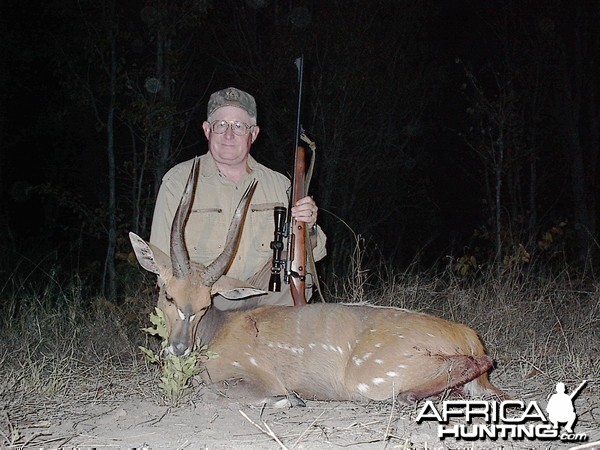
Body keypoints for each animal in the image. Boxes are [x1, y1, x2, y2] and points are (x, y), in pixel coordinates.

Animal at [131, 157, 506, 404]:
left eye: (205, 304)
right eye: (168, 295)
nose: (179, 347)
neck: (215, 335)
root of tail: (470, 337)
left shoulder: (257, 376)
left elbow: (217, 391)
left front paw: (292, 399)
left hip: (374, 375)